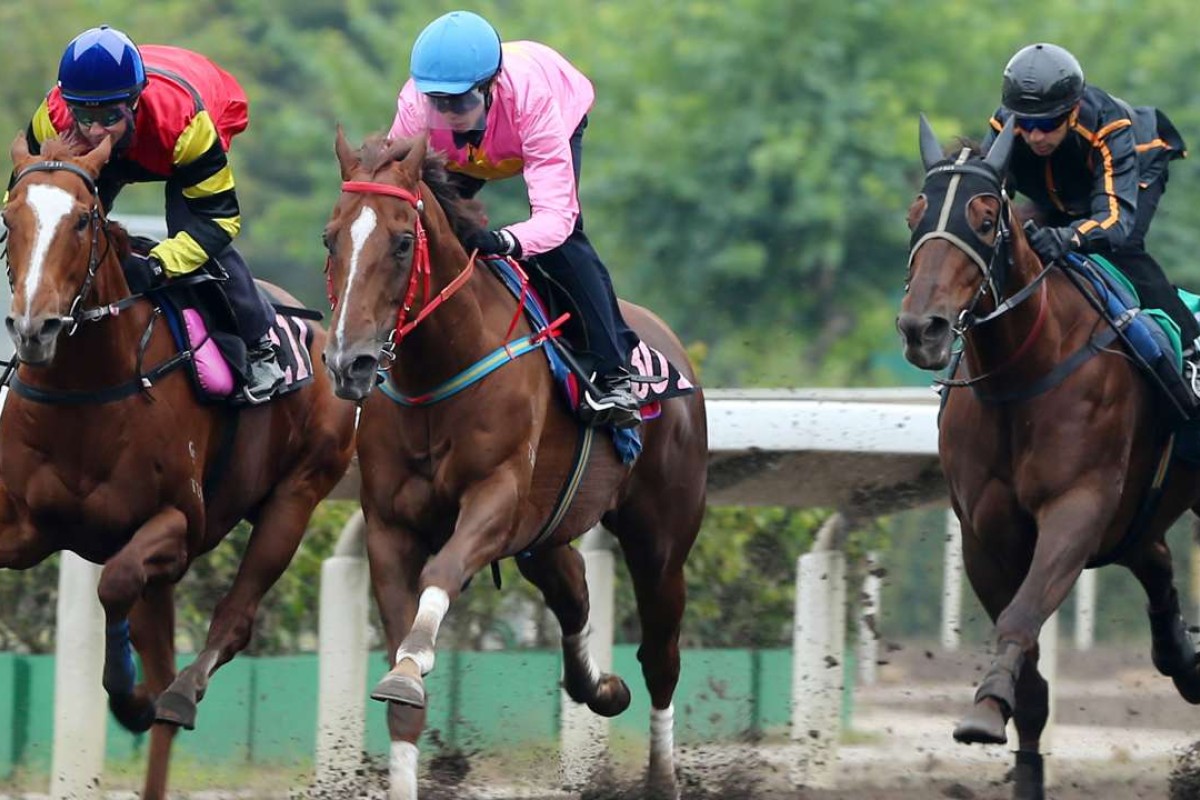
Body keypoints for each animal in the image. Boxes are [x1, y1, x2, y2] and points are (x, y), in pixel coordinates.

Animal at [1, 134, 355, 796]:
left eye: (83, 220)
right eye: (10, 218)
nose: (34, 328)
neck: (89, 388)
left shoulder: (178, 527)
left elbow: (114, 582)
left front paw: (130, 695)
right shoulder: (24, 528)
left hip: (298, 494)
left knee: (229, 624)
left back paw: (174, 695)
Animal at [324, 131, 705, 800]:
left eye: (401, 242)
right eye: (330, 239)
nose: (350, 363)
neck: (438, 372)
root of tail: (671, 346)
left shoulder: (495, 497)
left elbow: (443, 571)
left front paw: (415, 659)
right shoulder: (389, 525)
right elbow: (402, 699)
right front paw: (405, 680)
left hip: (660, 539)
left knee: (661, 656)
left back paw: (661, 778)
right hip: (544, 529)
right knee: (572, 588)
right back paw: (601, 688)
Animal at [897, 113, 1200, 800]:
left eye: (986, 219)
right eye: (915, 214)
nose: (922, 329)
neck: (1022, 373)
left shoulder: (1076, 509)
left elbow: (1024, 611)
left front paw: (984, 708)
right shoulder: (985, 537)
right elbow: (1030, 677)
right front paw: (998, 718)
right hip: (1137, 515)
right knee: (1154, 557)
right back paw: (1183, 658)